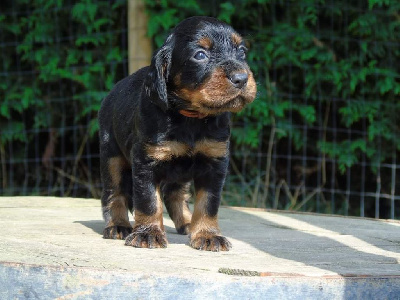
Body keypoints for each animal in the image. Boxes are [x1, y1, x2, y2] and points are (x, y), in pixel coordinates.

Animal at [99, 16, 258, 251]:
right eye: (200, 55)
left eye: (241, 52)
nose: (241, 78)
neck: (191, 118)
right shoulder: (146, 162)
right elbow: (148, 201)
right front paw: (148, 233)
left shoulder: (214, 162)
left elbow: (208, 203)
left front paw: (208, 235)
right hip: (112, 156)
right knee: (114, 192)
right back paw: (118, 225)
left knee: (175, 194)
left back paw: (187, 223)